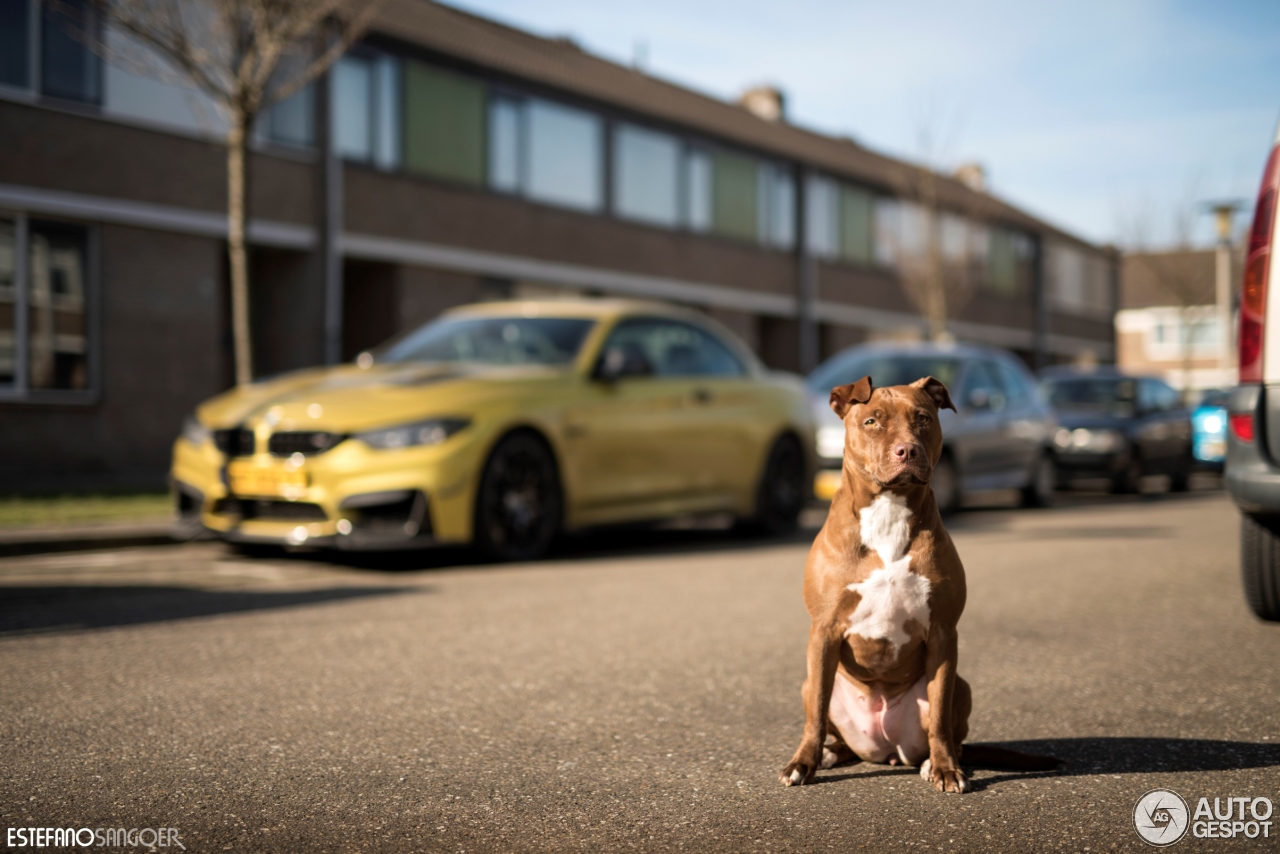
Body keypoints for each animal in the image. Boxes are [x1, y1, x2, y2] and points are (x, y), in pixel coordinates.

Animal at [773, 373, 1054, 793]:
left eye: (922, 418)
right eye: (872, 421)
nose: (907, 450)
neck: (888, 510)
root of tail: (886, 749)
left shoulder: (943, 633)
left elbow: (938, 714)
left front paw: (946, 769)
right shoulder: (823, 631)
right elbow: (816, 714)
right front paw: (803, 762)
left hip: (962, 685)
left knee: (951, 732)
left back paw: (935, 761)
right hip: (809, 682)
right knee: (829, 722)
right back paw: (828, 754)